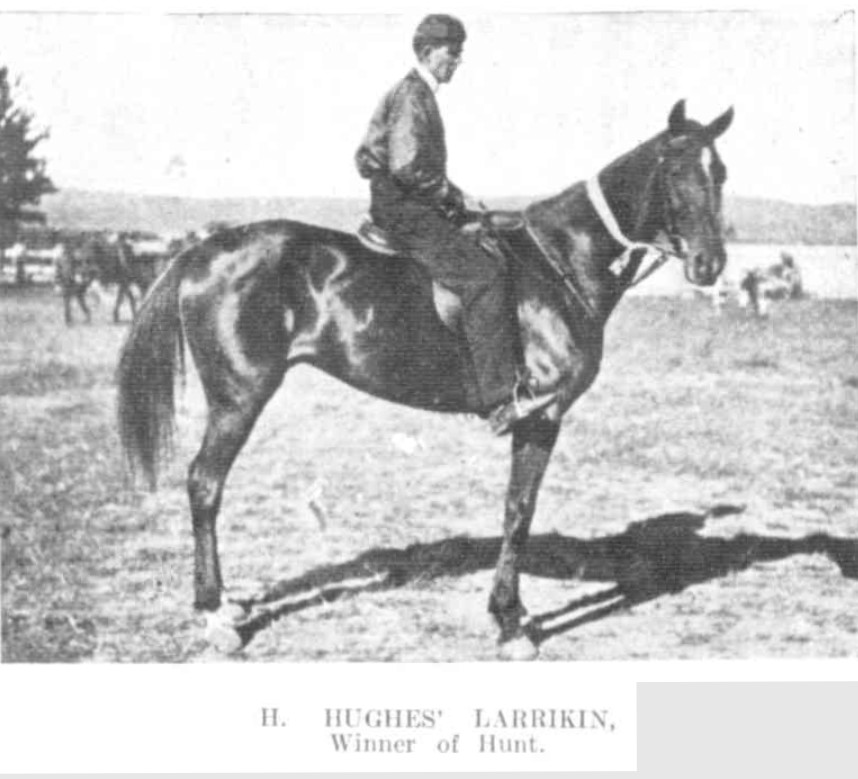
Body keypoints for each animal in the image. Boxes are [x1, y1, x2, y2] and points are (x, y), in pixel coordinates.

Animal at [115, 97, 736, 660]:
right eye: (674, 170)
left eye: (721, 172)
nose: (710, 265)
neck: (559, 265)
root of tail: (202, 250)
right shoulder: (541, 414)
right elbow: (519, 511)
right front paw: (510, 622)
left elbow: (518, 509)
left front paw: (510, 614)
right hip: (238, 398)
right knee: (204, 484)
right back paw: (215, 614)